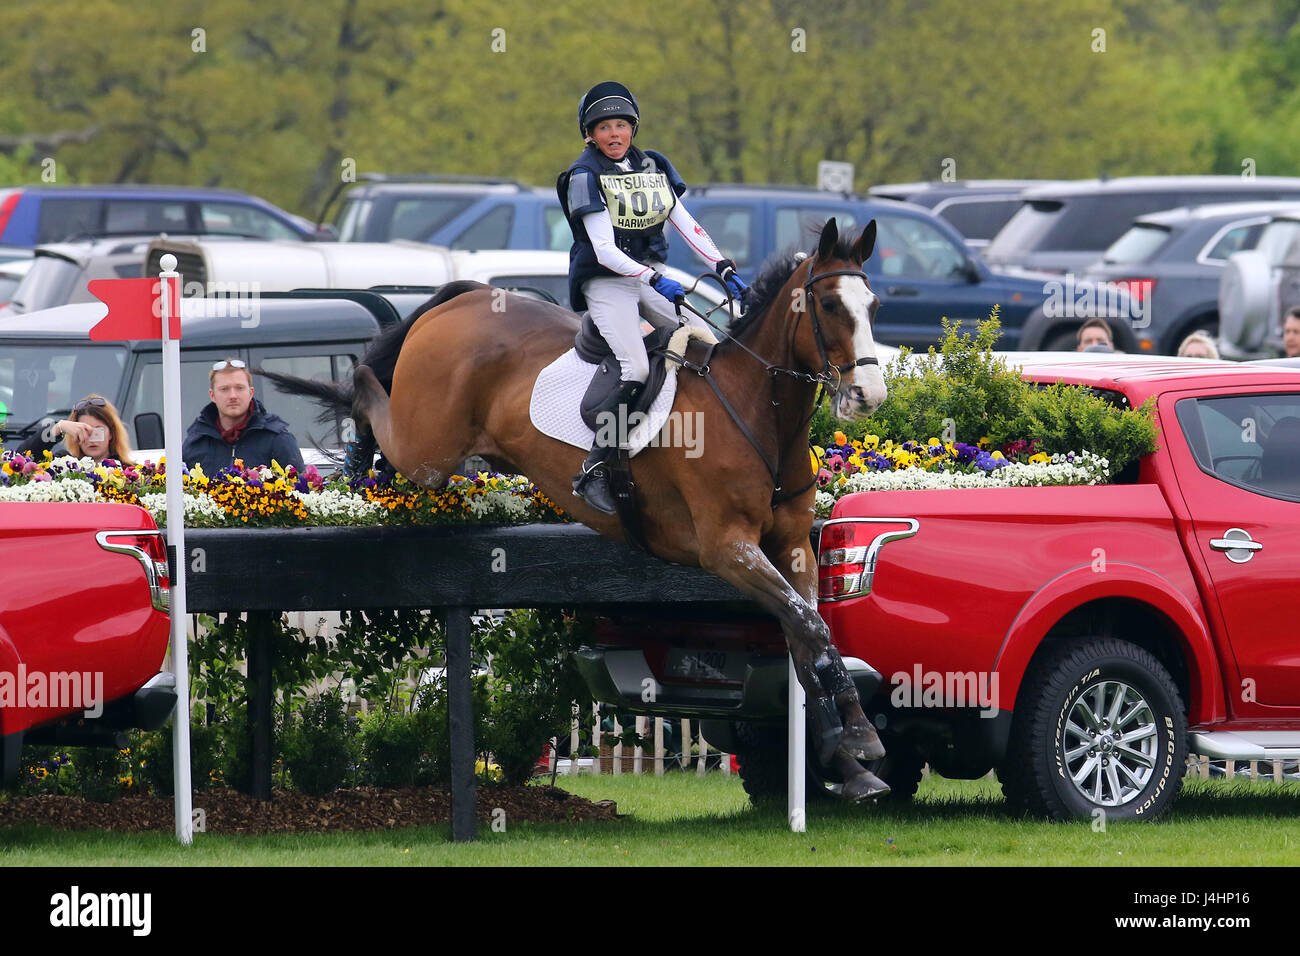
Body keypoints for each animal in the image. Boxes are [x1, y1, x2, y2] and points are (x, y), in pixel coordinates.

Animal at [269, 217, 889, 801]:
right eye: (830, 305)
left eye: (874, 305)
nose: (869, 396)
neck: (756, 411)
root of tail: (467, 298)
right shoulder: (727, 550)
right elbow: (808, 626)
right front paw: (858, 743)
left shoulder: (790, 547)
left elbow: (810, 636)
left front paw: (849, 758)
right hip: (428, 447)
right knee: (369, 393)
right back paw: (355, 443)